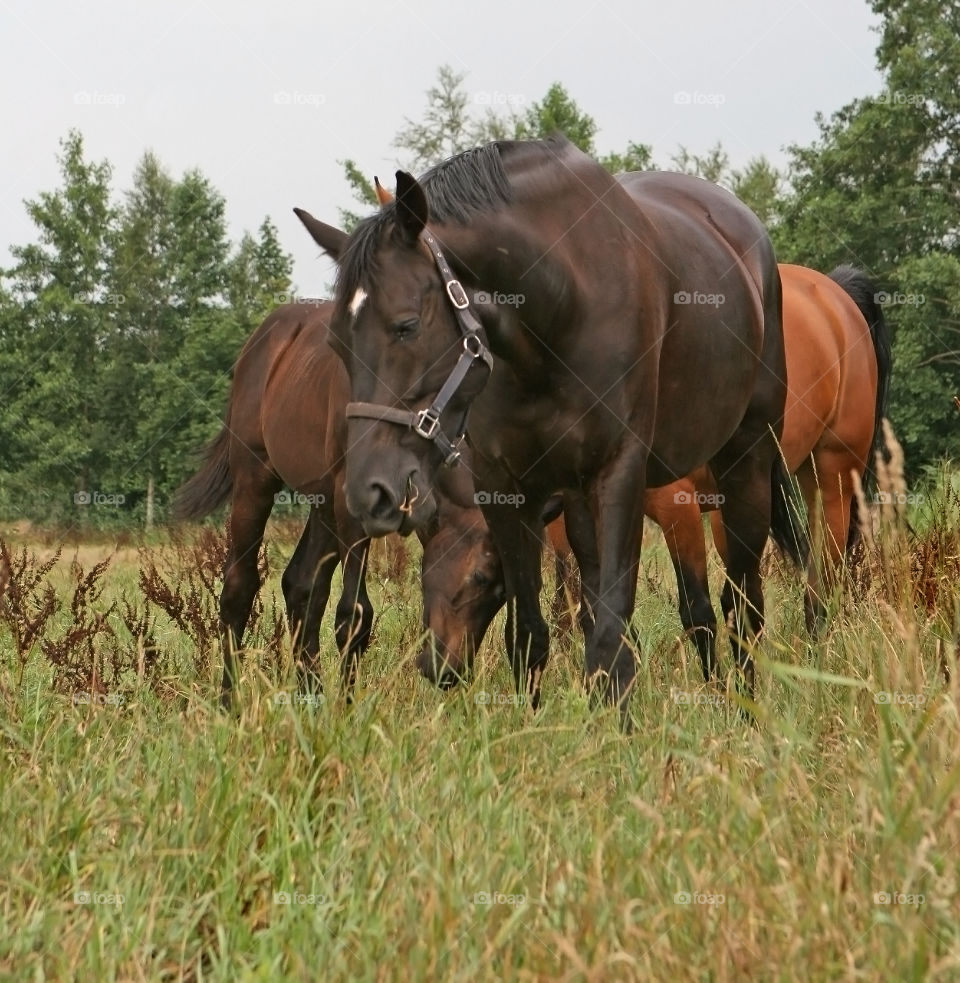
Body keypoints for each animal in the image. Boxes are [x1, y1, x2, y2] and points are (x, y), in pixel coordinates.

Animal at [173, 300, 506, 708]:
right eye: (480, 577)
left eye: (502, 595)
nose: (448, 671)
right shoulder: (352, 509)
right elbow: (355, 614)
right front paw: (346, 712)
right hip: (255, 480)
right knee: (240, 586)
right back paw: (228, 702)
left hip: (322, 501)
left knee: (301, 585)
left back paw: (310, 697)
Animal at [296, 136, 792, 724]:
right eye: (336, 341)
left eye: (407, 325)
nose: (369, 493)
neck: (560, 308)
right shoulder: (507, 488)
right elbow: (532, 633)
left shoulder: (620, 475)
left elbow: (608, 635)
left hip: (747, 462)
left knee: (743, 602)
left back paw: (747, 714)